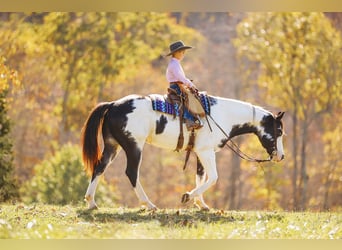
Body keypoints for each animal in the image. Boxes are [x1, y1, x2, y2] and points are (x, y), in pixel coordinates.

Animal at [81, 93, 284, 210]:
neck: (222, 116)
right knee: (131, 172)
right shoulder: (206, 152)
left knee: (99, 168)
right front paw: (188, 197)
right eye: (279, 131)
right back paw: (149, 204)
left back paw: (91, 202)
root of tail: (113, 104)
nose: (281, 156)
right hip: (134, 146)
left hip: (112, 146)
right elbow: (213, 177)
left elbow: (201, 177)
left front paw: (201, 204)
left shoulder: (201, 152)